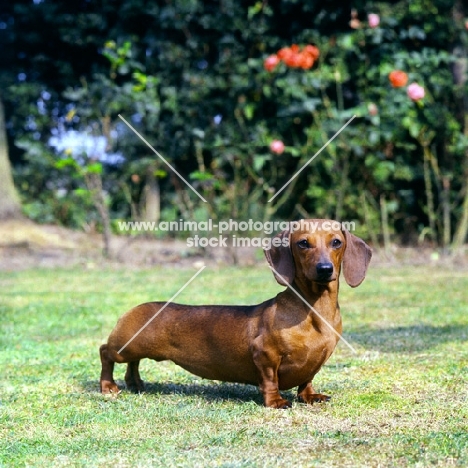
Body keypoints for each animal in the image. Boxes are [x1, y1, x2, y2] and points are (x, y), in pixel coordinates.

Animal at [100, 219, 372, 406]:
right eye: (304, 243)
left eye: (336, 242)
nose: (325, 269)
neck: (314, 310)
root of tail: (134, 308)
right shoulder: (264, 354)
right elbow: (270, 381)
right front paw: (275, 402)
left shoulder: (316, 361)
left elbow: (307, 380)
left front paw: (310, 396)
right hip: (125, 347)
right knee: (105, 352)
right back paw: (108, 386)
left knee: (133, 364)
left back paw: (136, 383)